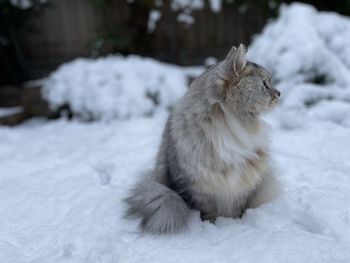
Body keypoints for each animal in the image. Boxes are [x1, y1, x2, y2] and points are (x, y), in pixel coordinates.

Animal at [126, 44, 282, 234]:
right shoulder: (197, 187)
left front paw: (235, 223)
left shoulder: (243, 184)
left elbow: (237, 209)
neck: (230, 123)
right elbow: (207, 211)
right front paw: (210, 226)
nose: (279, 93)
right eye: (265, 84)